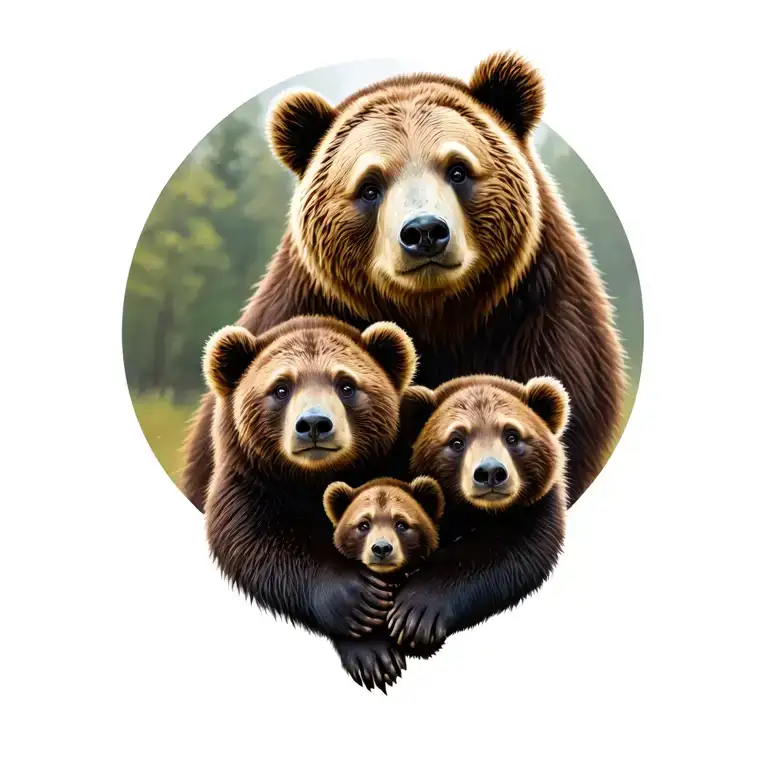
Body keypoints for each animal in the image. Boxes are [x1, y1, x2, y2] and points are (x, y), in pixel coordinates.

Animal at [201, 315, 420, 685]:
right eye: (281, 388)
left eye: (346, 385)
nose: (315, 424)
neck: (314, 479)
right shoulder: (251, 488)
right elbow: (261, 547)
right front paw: (362, 611)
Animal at [385, 374, 569, 653]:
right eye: (456, 440)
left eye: (512, 435)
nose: (490, 472)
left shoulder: (536, 509)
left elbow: (504, 557)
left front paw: (415, 612)